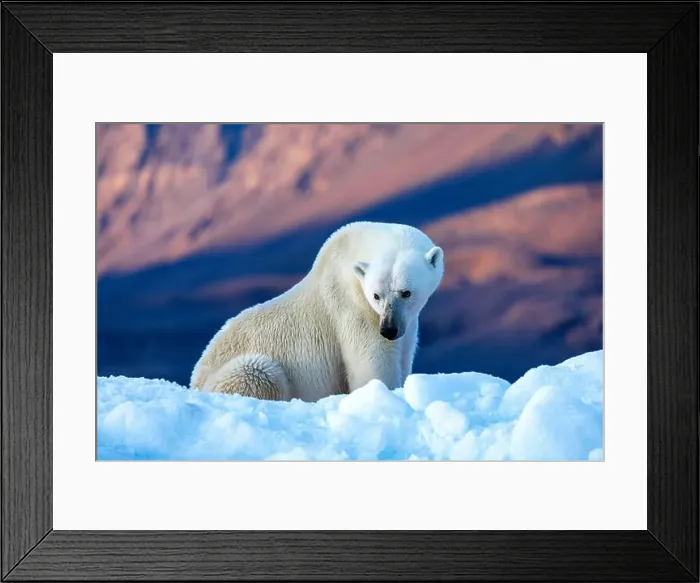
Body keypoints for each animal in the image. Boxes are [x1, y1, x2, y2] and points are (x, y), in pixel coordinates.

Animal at [189, 221, 444, 402]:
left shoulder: (407, 322)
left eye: (406, 292)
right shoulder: (353, 308)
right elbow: (372, 365)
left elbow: (404, 353)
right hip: (239, 372)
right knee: (259, 370)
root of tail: (195, 381)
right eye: (376, 295)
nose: (389, 330)